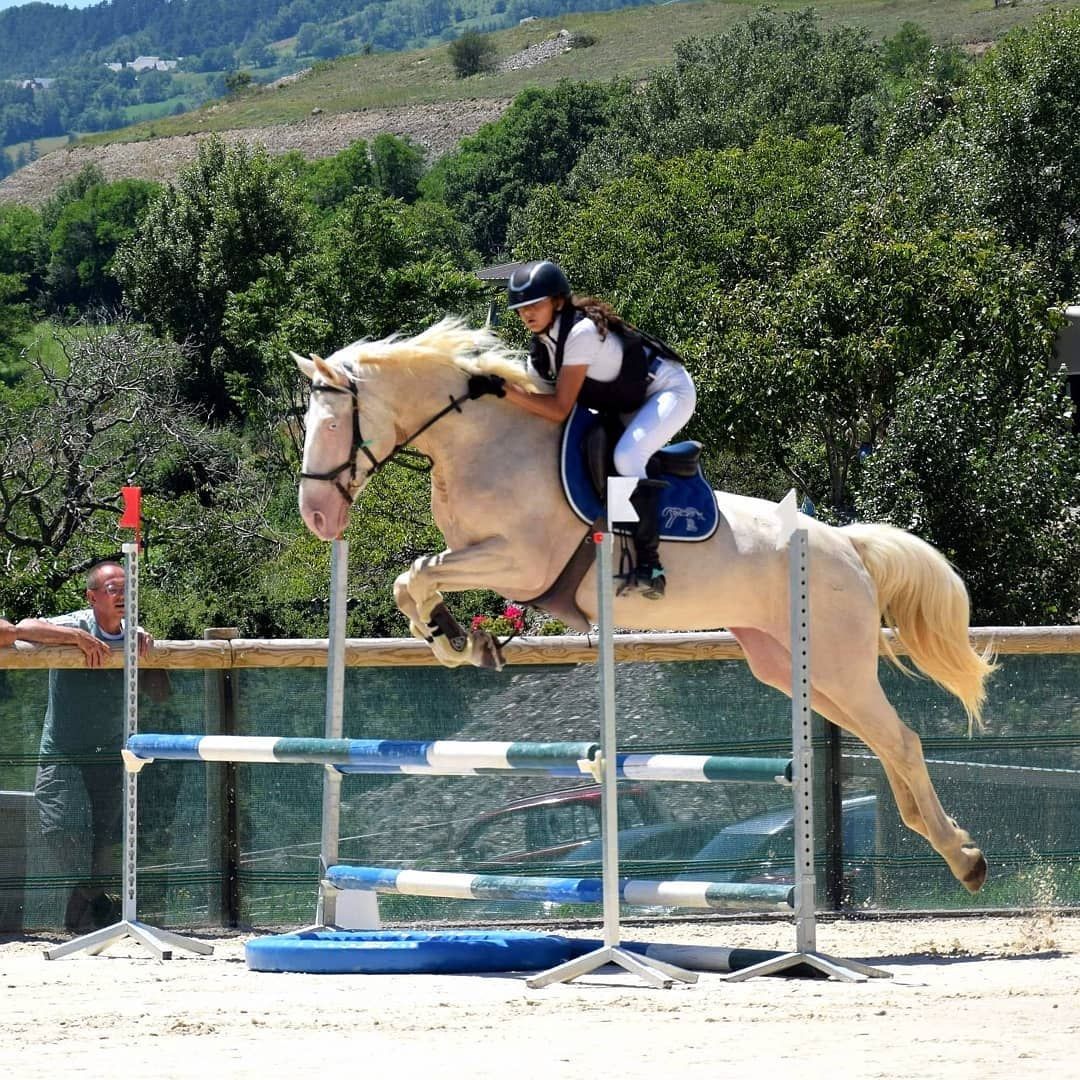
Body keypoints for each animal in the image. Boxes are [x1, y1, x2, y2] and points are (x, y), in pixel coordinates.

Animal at [294, 318, 996, 894]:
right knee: (880, 739)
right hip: (791, 664)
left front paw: (457, 637)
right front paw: (455, 637)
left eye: (331, 425)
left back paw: (965, 859)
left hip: (835, 659)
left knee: (900, 738)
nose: (318, 518)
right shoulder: (482, 554)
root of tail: (844, 543)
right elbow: (412, 581)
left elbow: (418, 574)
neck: (484, 442)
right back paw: (948, 841)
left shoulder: (521, 562)